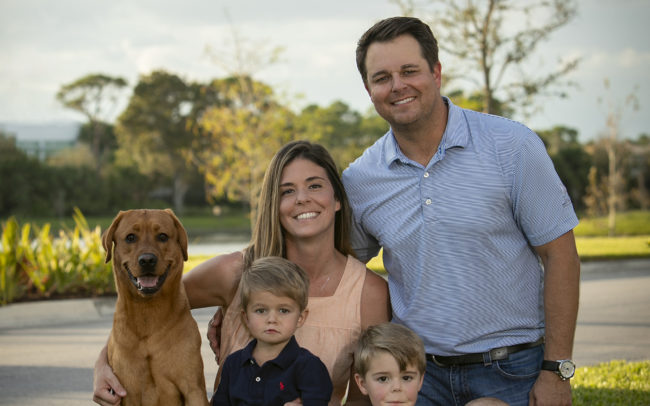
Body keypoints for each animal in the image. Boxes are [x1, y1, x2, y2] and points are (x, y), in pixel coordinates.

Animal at [102, 209, 208, 406]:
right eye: (130, 237)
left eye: (162, 236)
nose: (147, 260)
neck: (148, 312)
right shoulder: (127, 392)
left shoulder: (193, 389)